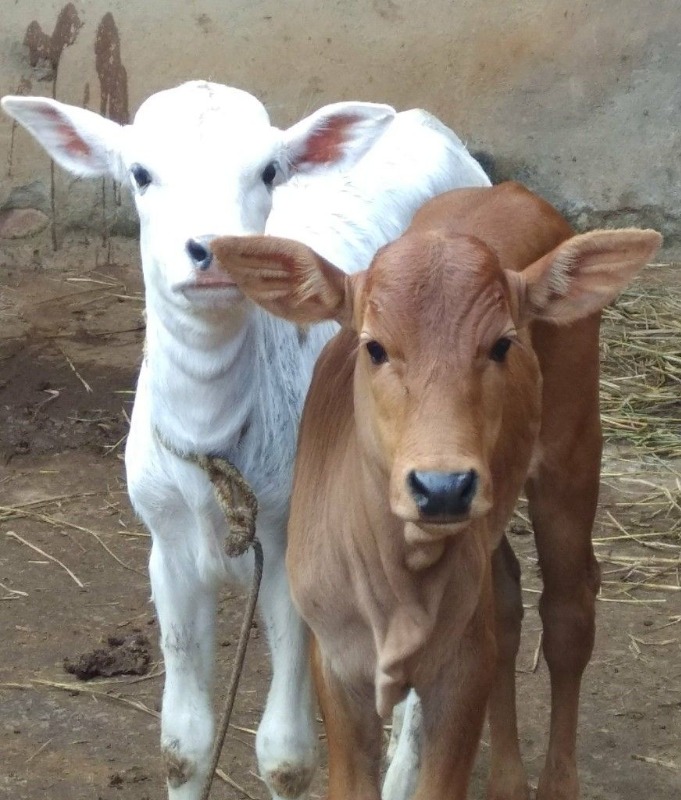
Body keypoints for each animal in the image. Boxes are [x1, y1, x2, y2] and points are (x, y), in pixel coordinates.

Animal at [1, 81, 488, 800]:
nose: (209, 250)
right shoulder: (167, 549)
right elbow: (183, 745)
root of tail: (424, 122)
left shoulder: (289, 552)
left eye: (267, 171)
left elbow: (286, 755)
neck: (215, 445)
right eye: (139, 173)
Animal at [211, 183, 660, 800]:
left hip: (572, 447)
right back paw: (507, 781)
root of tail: (512, 190)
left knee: (569, 610)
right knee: (509, 599)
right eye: (374, 347)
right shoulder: (337, 664)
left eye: (503, 345)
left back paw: (555, 782)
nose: (443, 487)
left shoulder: (461, 672)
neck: (399, 582)